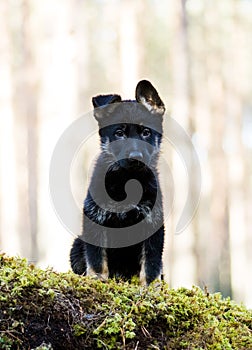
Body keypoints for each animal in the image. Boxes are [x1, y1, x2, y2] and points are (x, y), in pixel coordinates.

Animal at [70, 80, 166, 286]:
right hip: (77, 244)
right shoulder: (96, 218)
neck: (127, 182)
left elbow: (151, 264)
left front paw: (150, 287)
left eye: (146, 132)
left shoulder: (152, 223)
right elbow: (97, 259)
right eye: (119, 133)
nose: (136, 157)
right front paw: (97, 279)